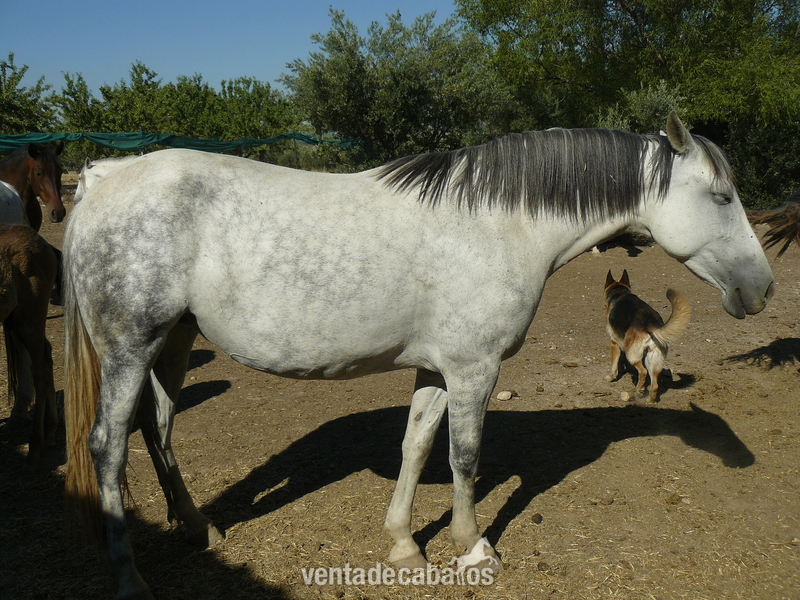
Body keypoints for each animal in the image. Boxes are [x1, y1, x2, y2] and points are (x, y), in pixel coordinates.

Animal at [63, 112, 774, 600]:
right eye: (720, 197)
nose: (763, 288)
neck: (501, 223)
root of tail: (104, 178)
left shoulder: (437, 368)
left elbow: (417, 444)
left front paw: (405, 545)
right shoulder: (474, 368)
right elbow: (465, 457)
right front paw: (472, 548)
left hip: (173, 342)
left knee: (158, 428)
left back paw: (198, 528)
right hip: (129, 348)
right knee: (109, 446)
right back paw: (130, 578)